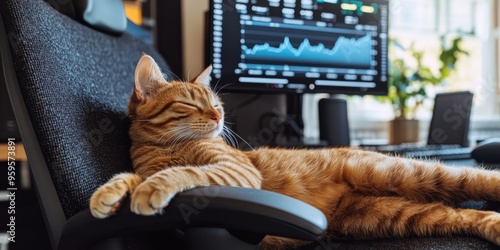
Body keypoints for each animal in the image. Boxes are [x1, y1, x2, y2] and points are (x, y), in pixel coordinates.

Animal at [90, 54, 500, 248]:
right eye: (192, 104)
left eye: (216, 103)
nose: (220, 116)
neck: (166, 147)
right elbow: (131, 175)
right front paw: (111, 192)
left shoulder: (236, 170)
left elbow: (184, 173)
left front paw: (154, 186)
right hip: (390, 215)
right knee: (462, 213)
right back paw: (492, 225)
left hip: (408, 173)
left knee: (481, 178)